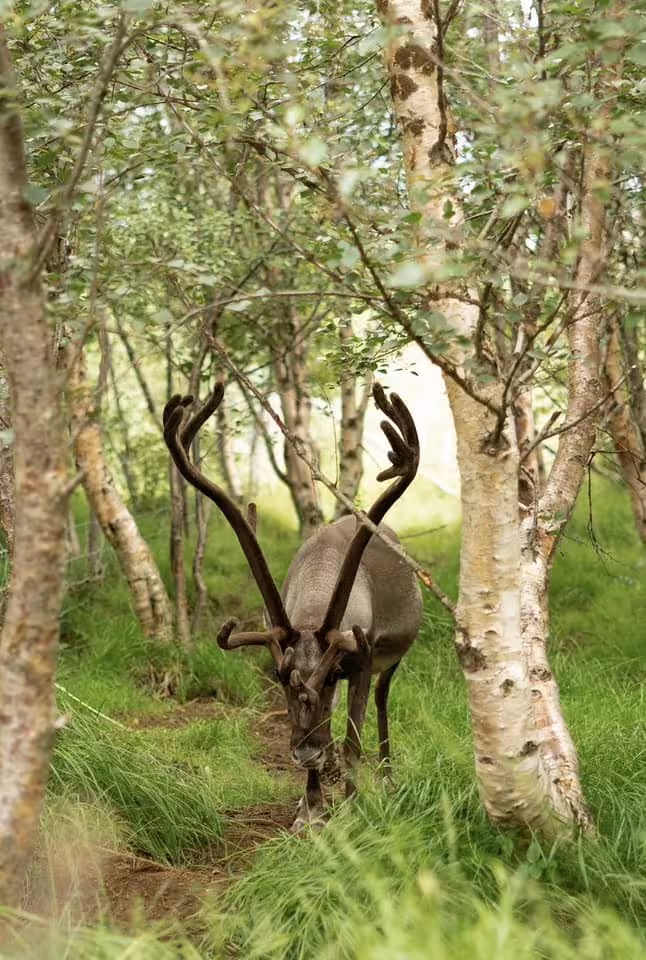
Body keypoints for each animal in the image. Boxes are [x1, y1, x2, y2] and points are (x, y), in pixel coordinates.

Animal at [163, 380, 422, 831]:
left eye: (332, 672)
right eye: (280, 676)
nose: (305, 750)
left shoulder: (361, 655)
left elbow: (353, 742)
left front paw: (351, 812)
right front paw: (311, 810)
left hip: (394, 657)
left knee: (382, 698)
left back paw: (388, 778)